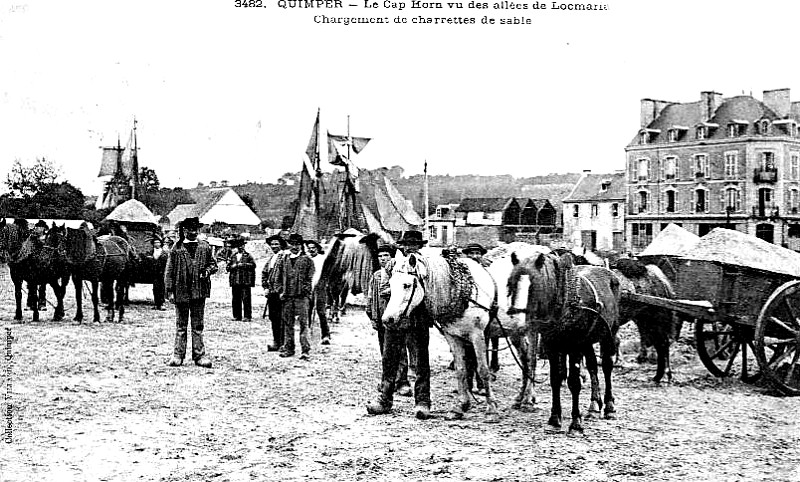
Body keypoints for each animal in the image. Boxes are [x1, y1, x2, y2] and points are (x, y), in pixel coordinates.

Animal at [510, 252, 620, 434]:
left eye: (535, 287)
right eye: (511, 285)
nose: (518, 324)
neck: (564, 303)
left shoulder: (574, 346)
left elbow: (574, 382)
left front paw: (575, 423)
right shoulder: (553, 346)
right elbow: (555, 379)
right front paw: (555, 418)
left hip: (609, 335)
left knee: (606, 366)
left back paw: (609, 407)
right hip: (587, 341)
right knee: (592, 366)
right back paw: (594, 405)